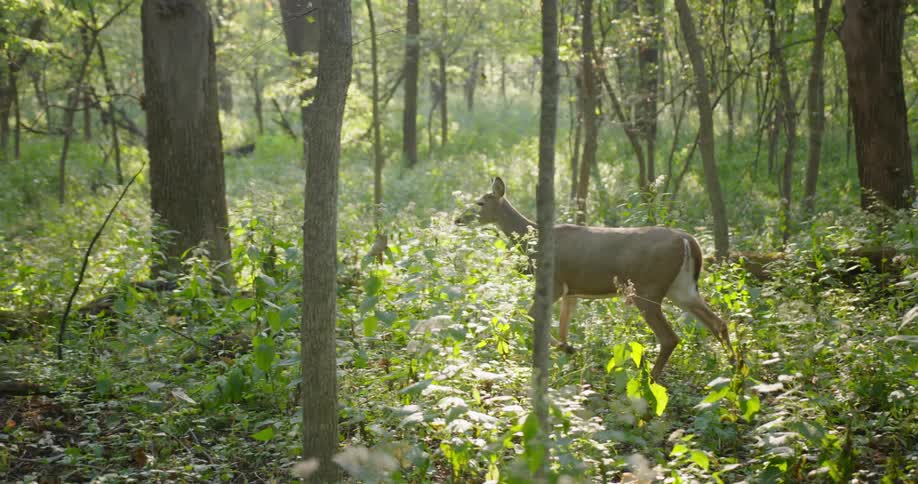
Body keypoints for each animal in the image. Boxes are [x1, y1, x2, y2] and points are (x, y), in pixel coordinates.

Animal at [456, 177, 733, 379]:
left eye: (480, 203)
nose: (458, 219)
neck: (533, 241)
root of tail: (689, 241)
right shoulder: (571, 290)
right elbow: (563, 327)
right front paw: (568, 350)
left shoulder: (553, 282)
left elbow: (529, 315)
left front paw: (567, 349)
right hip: (681, 287)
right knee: (718, 323)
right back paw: (734, 371)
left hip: (648, 288)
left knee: (670, 338)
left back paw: (649, 380)